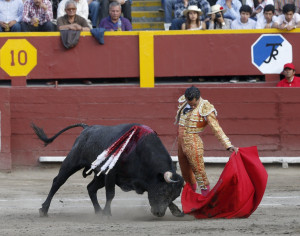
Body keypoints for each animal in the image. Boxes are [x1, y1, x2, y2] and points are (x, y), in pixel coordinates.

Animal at [31, 123, 184, 218]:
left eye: (175, 195)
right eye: (162, 191)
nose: (159, 213)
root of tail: (87, 128)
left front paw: (177, 211)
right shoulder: (111, 173)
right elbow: (110, 194)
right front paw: (107, 213)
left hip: (99, 176)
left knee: (91, 188)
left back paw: (98, 211)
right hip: (72, 162)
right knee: (58, 181)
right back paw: (44, 210)